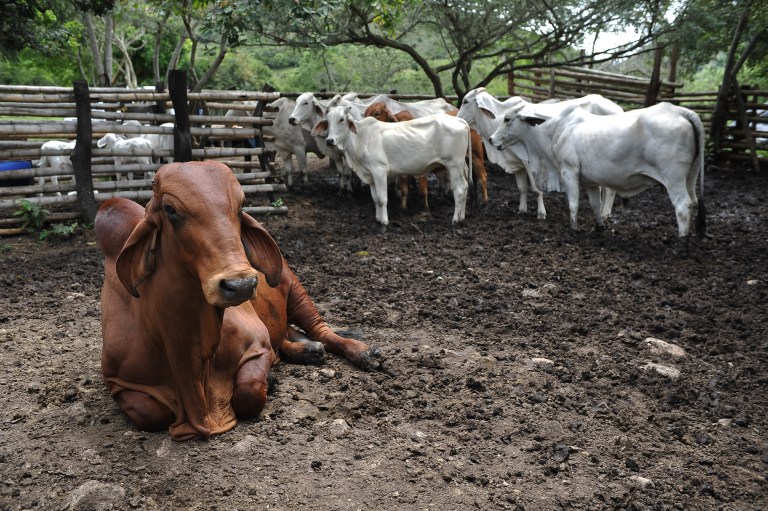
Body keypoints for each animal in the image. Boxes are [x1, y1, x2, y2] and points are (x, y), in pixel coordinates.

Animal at [95, 161, 380, 441]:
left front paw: (268, 382)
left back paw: (362, 352)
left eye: (241, 205)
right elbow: (150, 414)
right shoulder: (117, 381)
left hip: (293, 285)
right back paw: (308, 350)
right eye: (170, 209)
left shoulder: (258, 343)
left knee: (320, 330)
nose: (241, 285)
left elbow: (248, 393)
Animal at [313, 105, 471, 227]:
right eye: (327, 121)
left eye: (341, 119)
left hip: (454, 165)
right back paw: (462, 217)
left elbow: (382, 198)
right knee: (464, 187)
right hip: (460, 166)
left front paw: (384, 222)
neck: (360, 139)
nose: (329, 140)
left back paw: (455, 220)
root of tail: (458, 119)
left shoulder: (379, 170)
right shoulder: (370, 174)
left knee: (459, 190)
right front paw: (377, 219)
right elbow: (375, 198)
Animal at [458, 88, 624, 220]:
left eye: (465, 101)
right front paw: (522, 209)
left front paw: (541, 213)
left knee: (610, 190)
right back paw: (602, 210)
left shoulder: (529, 161)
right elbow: (522, 188)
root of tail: (618, 109)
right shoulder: (517, 163)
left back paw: (605, 213)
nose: (457, 118)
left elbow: (536, 189)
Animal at [489, 101, 706, 252]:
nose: (491, 139)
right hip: (690, 178)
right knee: (694, 202)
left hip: (673, 179)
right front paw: (599, 228)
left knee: (683, 206)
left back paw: (681, 246)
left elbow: (573, 204)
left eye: (507, 119)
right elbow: (595, 204)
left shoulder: (569, 172)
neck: (556, 127)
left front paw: (573, 229)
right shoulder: (590, 181)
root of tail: (680, 111)